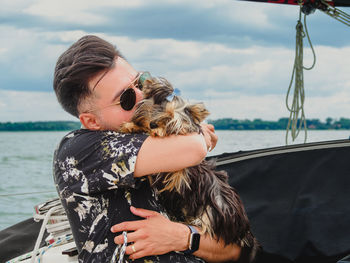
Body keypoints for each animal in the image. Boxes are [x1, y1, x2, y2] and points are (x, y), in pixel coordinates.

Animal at [120, 76, 260, 262]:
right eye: (155, 108)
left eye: (170, 118)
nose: (153, 123)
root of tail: (244, 231)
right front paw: (131, 126)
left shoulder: (175, 174)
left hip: (209, 214)